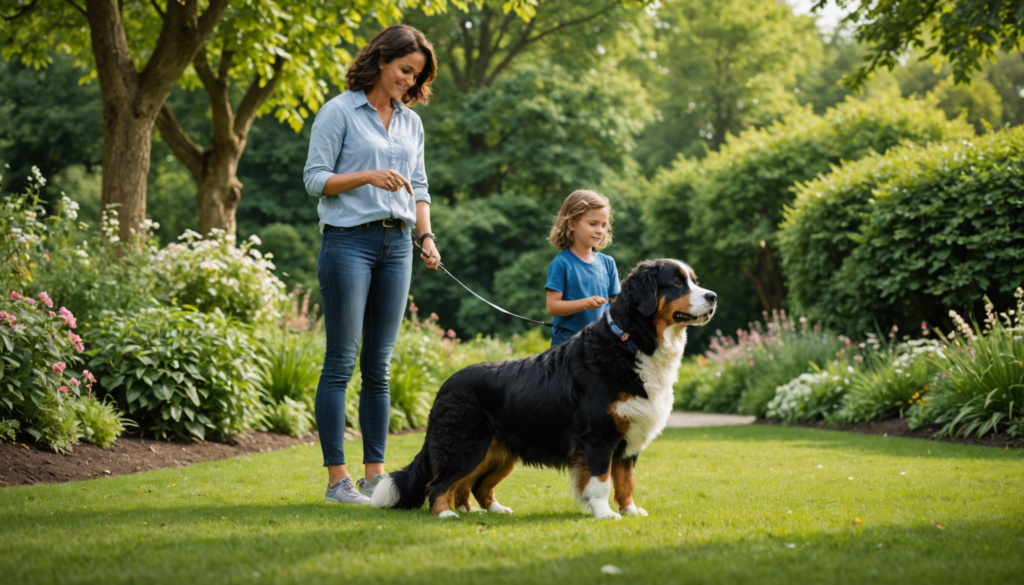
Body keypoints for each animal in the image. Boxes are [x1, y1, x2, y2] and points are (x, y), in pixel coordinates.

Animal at [372, 258, 716, 520]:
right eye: (677, 283)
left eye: (694, 281)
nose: (713, 296)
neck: (630, 343)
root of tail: (445, 385)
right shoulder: (599, 437)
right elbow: (602, 481)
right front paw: (604, 513)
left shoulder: (627, 440)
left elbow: (625, 481)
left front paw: (631, 511)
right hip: (466, 445)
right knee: (440, 484)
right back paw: (445, 513)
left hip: (496, 452)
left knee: (473, 486)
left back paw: (488, 510)